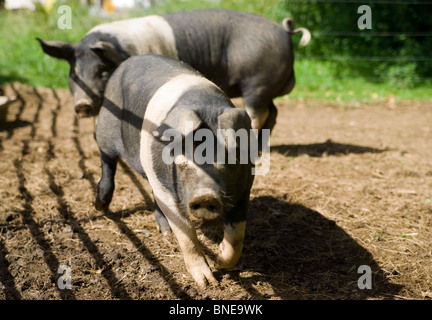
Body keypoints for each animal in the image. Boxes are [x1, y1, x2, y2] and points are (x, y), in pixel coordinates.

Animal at [36, 9, 310, 134]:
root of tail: (284, 31)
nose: (81, 105)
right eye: (73, 74)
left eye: (101, 69)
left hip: (256, 83)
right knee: (273, 113)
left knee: (258, 113)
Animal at [96, 53, 255, 288]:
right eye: (184, 160)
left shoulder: (245, 189)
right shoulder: (168, 192)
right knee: (108, 164)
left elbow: (237, 236)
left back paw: (164, 231)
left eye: (230, 158)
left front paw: (219, 260)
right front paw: (207, 283)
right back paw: (101, 206)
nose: (206, 197)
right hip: (105, 130)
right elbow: (186, 235)